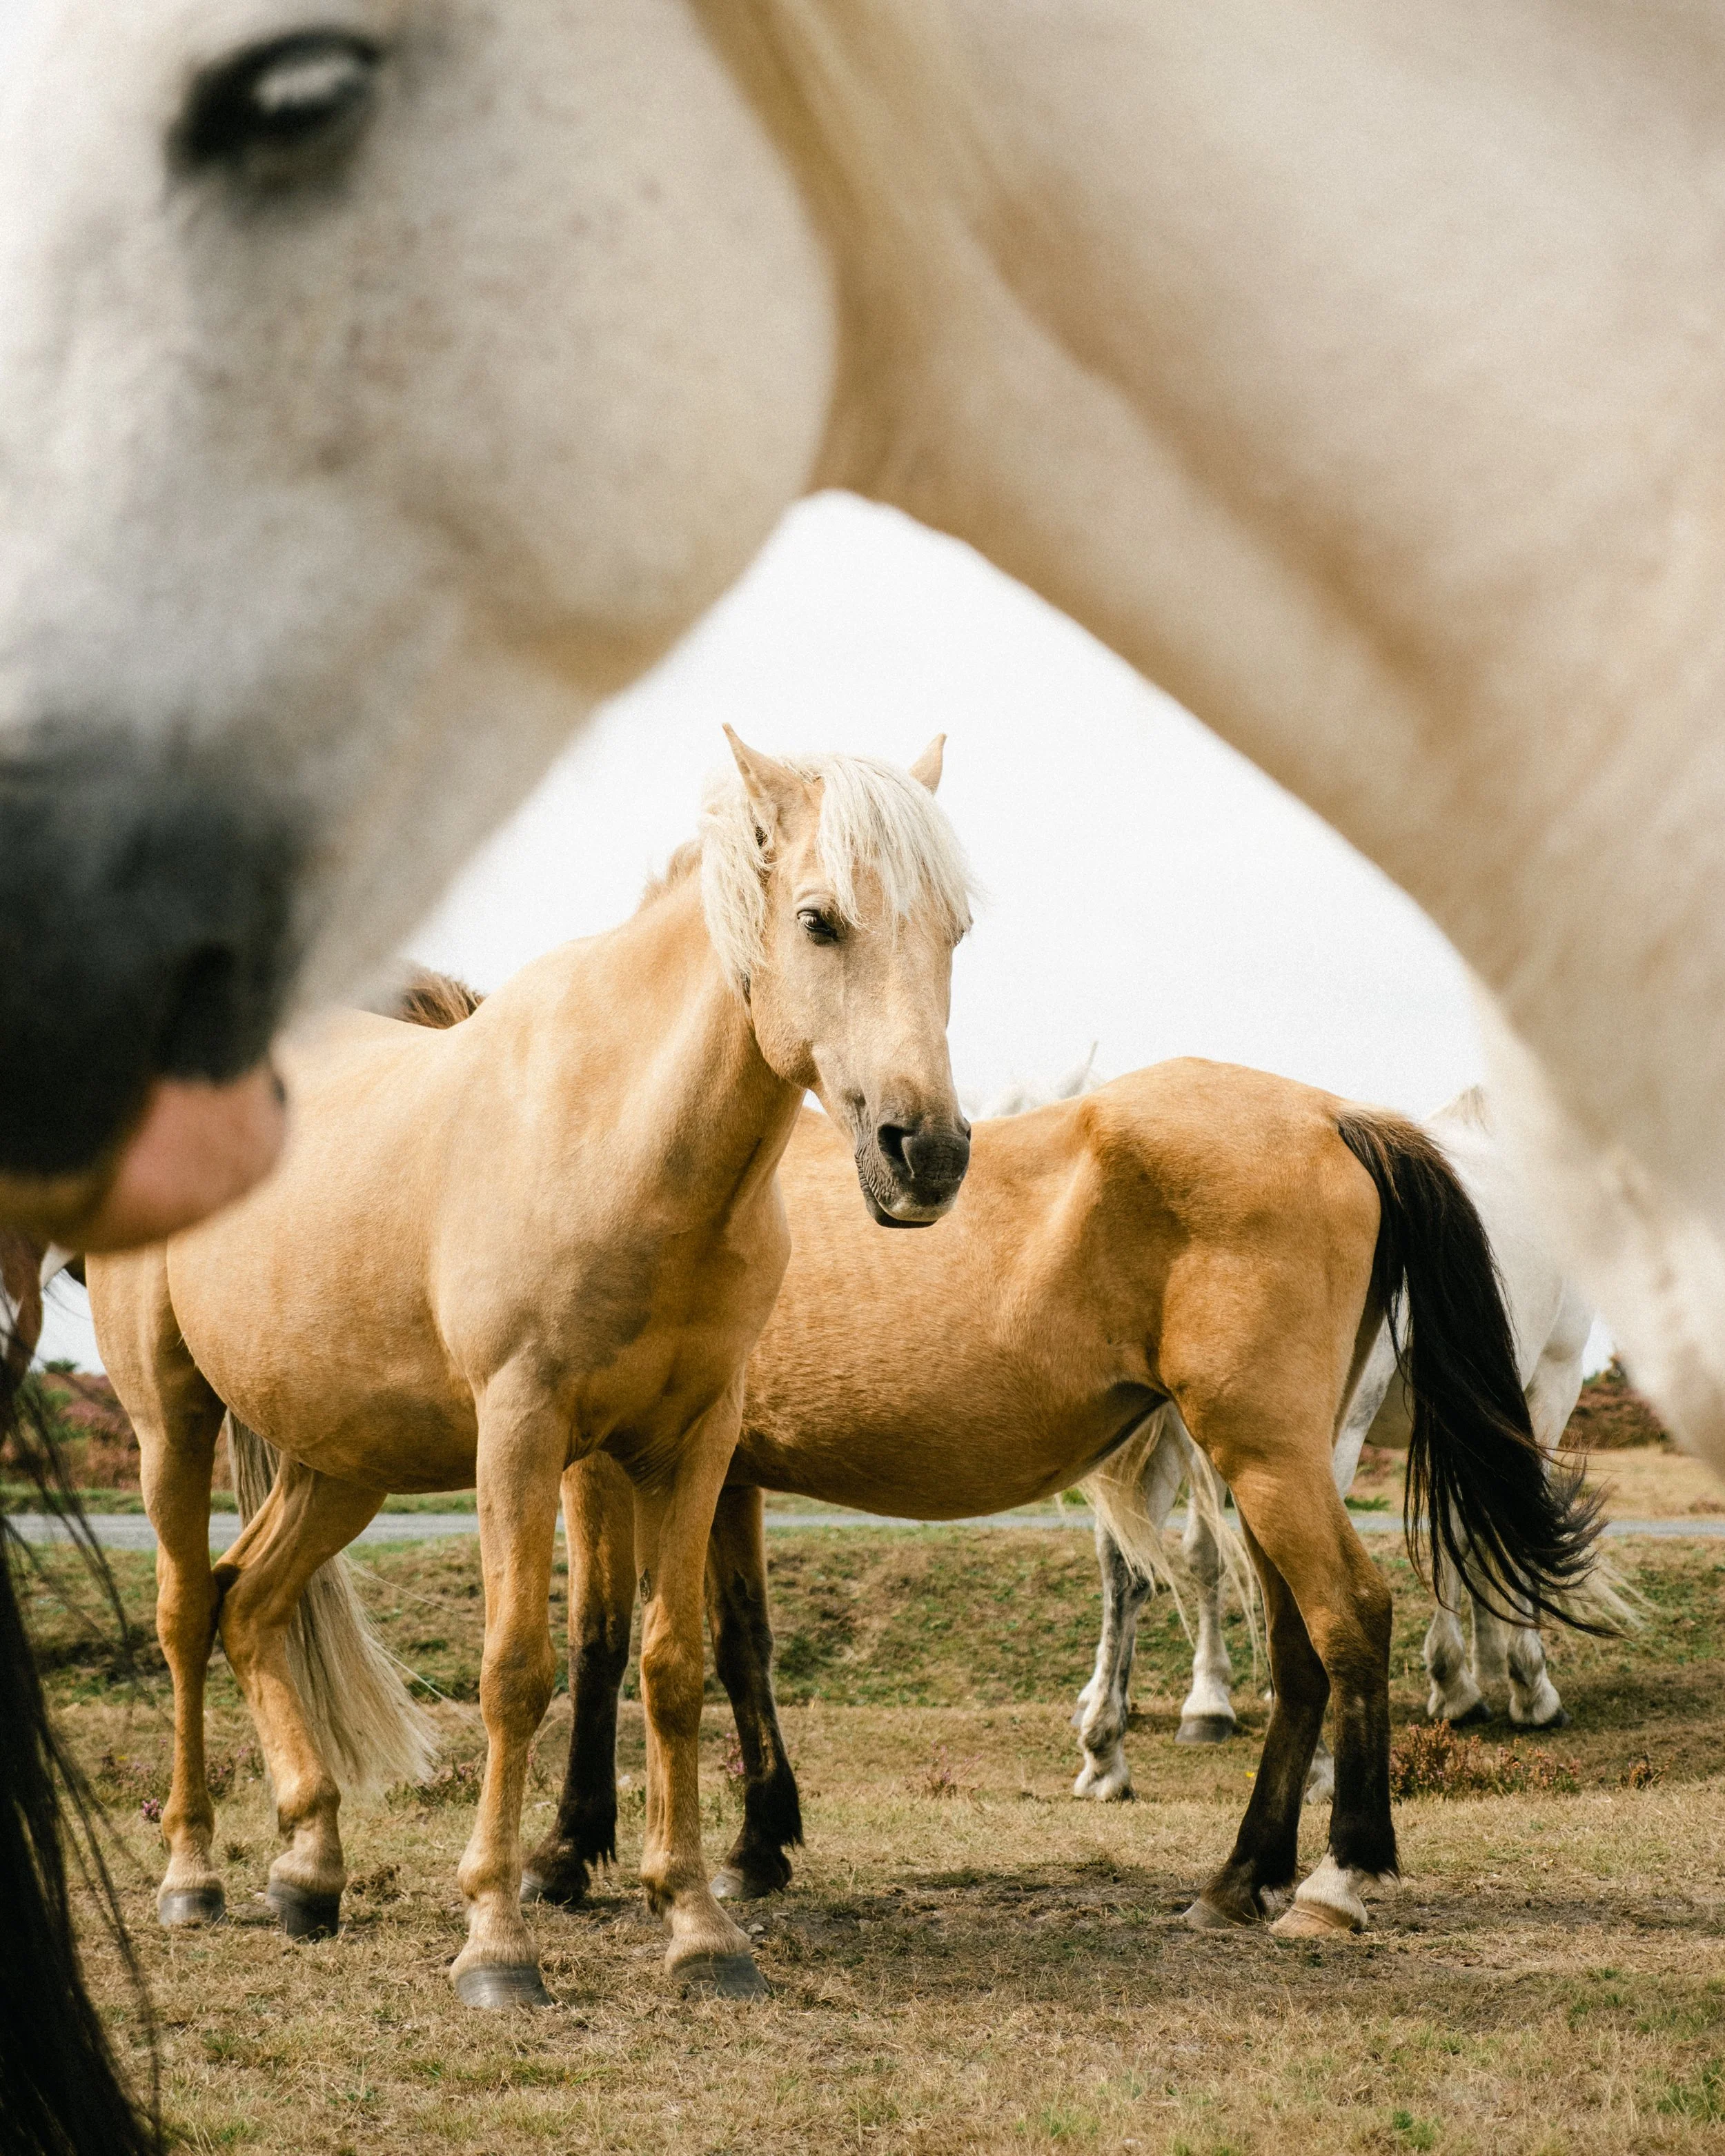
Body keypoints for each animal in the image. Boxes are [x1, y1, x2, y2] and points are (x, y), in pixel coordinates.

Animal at [85, 736, 973, 2007]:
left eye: (954, 928)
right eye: (819, 920)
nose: (928, 1153)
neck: (619, 1138)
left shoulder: (692, 1445)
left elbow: (673, 1663)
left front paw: (699, 1926)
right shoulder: (523, 1432)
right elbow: (517, 1668)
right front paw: (498, 1941)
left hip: (338, 1462)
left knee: (249, 1603)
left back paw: (310, 1869)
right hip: (173, 1421)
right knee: (182, 1613)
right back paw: (193, 1875)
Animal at [1072, 1089, 1601, 1808]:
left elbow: (1455, 1536)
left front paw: (1465, 1677)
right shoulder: (1548, 1386)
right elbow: (1488, 1538)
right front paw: (1519, 1684)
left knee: (1127, 1564)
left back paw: (1111, 1749)